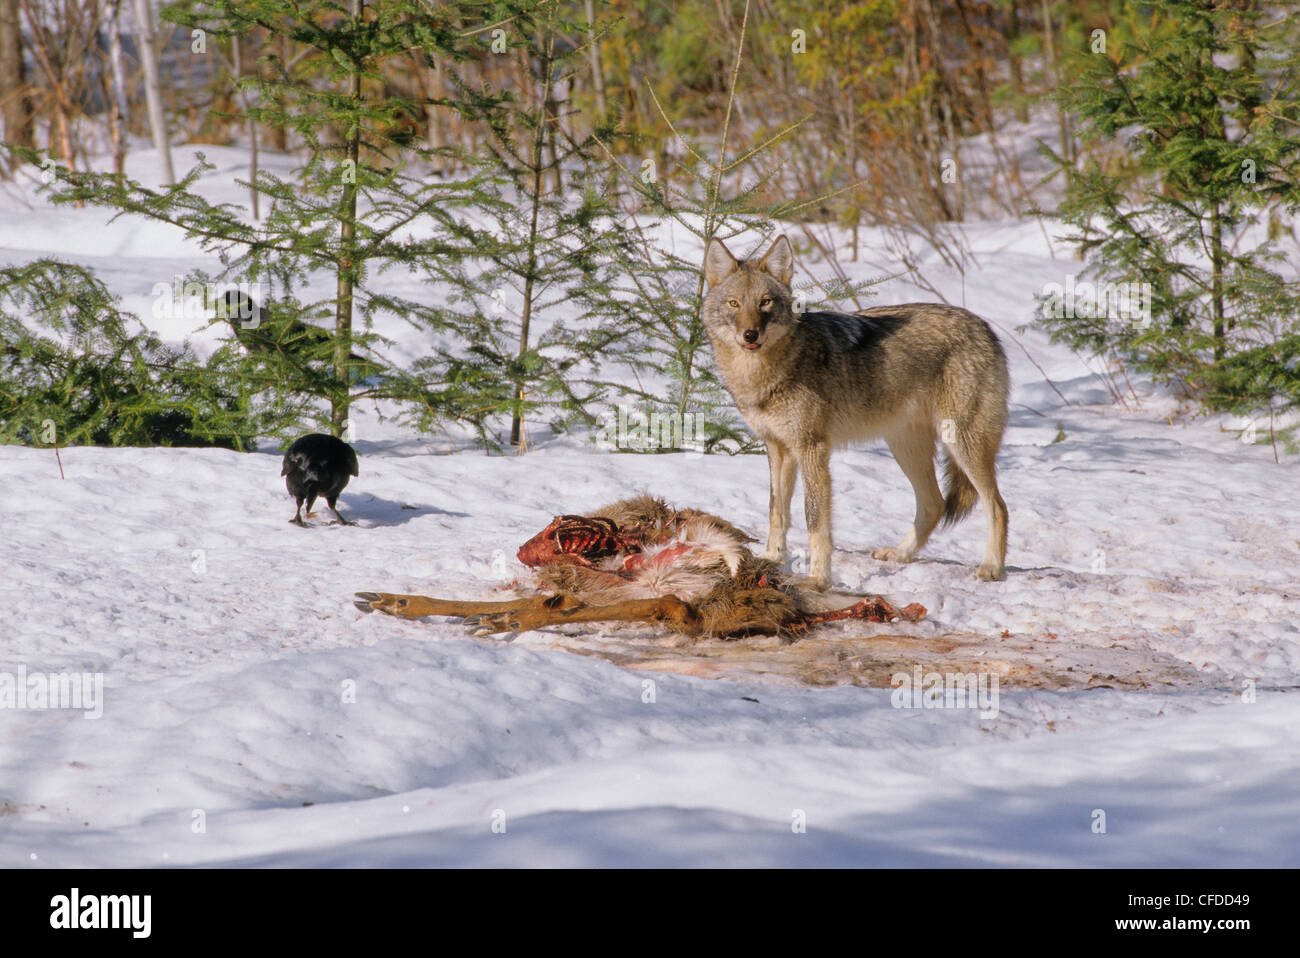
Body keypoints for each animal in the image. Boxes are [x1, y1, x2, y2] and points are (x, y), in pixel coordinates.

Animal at [701, 234, 1010, 587]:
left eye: (765, 302)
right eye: (734, 304)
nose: (750, 334)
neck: (767, 372)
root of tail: (985, 327)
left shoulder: (812, 449)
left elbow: (814, 520)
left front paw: (818, 577)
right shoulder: (778, 448)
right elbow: (776, 510)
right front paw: (773, 557)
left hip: (961, 444)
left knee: (997, 506)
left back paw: (992, 567)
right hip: (905, 446)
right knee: (934, 503)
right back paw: (901, 554)